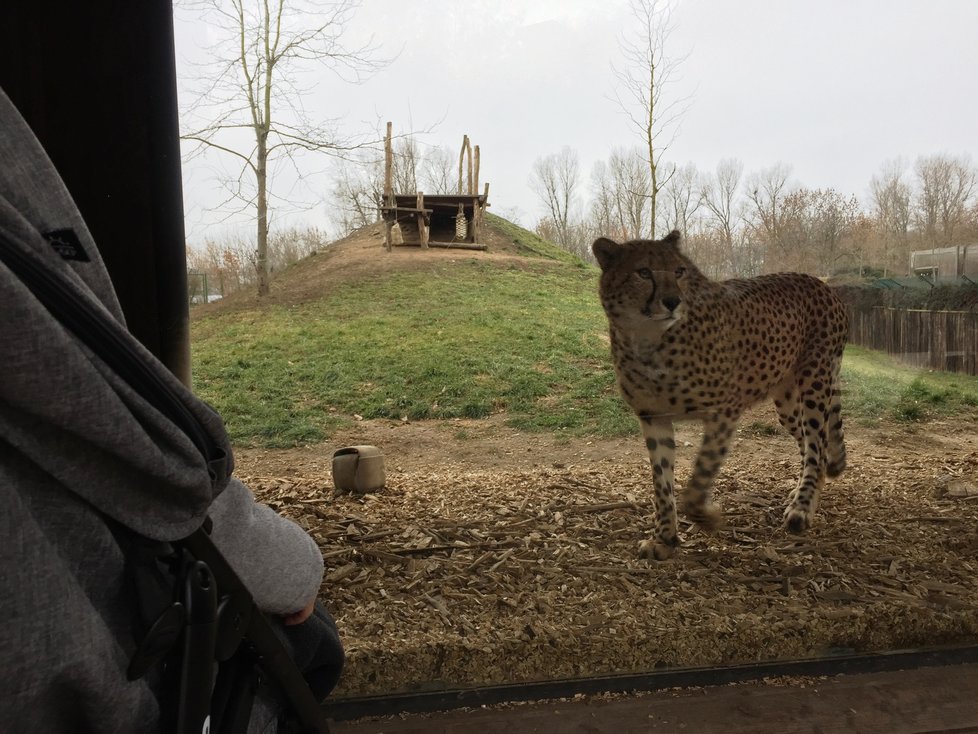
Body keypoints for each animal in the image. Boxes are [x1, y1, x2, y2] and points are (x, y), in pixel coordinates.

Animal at [592, 233, 852, 560]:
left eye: (679, 271)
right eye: (643, 272)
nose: (673, 301)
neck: (649, 341)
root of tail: (820, 283)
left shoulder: (724, 411)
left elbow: (698, 480)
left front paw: (707, 518)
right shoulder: (653, 417)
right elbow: (662, 484)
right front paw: (664, 538)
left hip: (815, 384)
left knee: (817, 444)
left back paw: (802, 509)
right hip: (787, 403)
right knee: (810, 444)